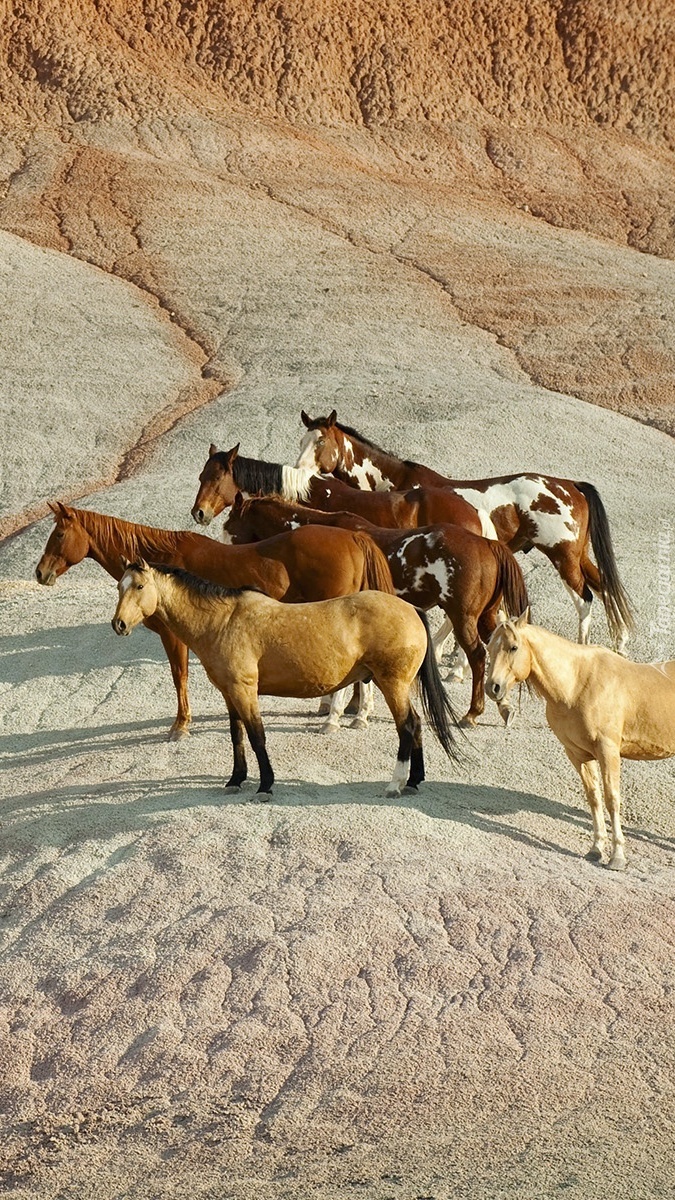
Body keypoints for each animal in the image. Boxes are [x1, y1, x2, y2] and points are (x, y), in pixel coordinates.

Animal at [35, 499, 393, 739]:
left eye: (59, 535)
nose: (40, 573)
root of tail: (352, 537)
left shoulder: (173, 636)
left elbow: (179, 676)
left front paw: (180, 726)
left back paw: (333, 718)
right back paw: (357, 714)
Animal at [112, 559, 458, 796]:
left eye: (139, 586)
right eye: (119, 586)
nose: (119, 624)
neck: (223, 621)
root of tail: (412, 609)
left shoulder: (244, 691)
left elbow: (257, 736)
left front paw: (265, 785)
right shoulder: (229, 692)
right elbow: (237, 736)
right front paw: (235, 779)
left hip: (392, 684)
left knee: (407, 726)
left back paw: (396, 783)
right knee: (416, 724)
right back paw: (414, 780)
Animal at [296, 412, 634, 657]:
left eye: (321, 442)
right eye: (302, 440)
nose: (299, 470)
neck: (398, 484)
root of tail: (571, 485)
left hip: (563, 557)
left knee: (585, 598)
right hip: (578, 555)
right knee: (606, 588)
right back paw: (620, 642)